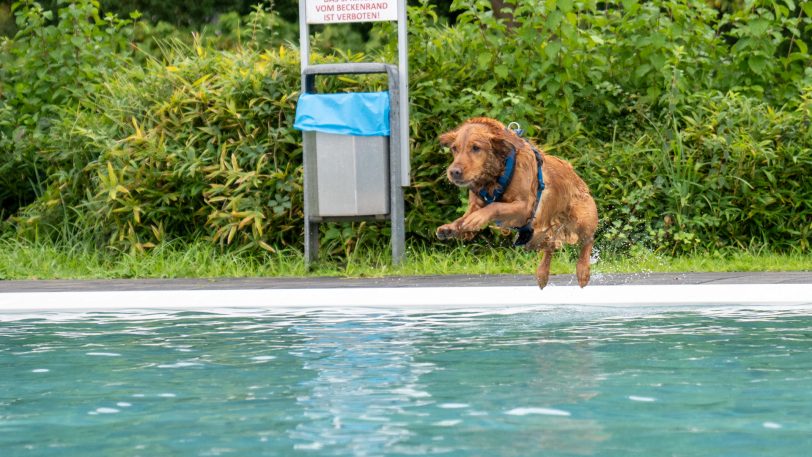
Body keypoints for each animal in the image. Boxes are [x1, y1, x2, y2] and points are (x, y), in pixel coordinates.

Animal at [434, 117, 600, 288]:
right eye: (454, 148)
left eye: (476, 148)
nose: (453, 172)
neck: (495, 175)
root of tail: (579, 179)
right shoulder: (476, 203)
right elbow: (465, 217)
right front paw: (451, 227)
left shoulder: (526, 207)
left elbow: (495, 206)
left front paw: (476, 218)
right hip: (538, 235)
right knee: (550, 246)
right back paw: (542, 274)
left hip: (580, 220)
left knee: (588, 240)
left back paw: (583, 271)